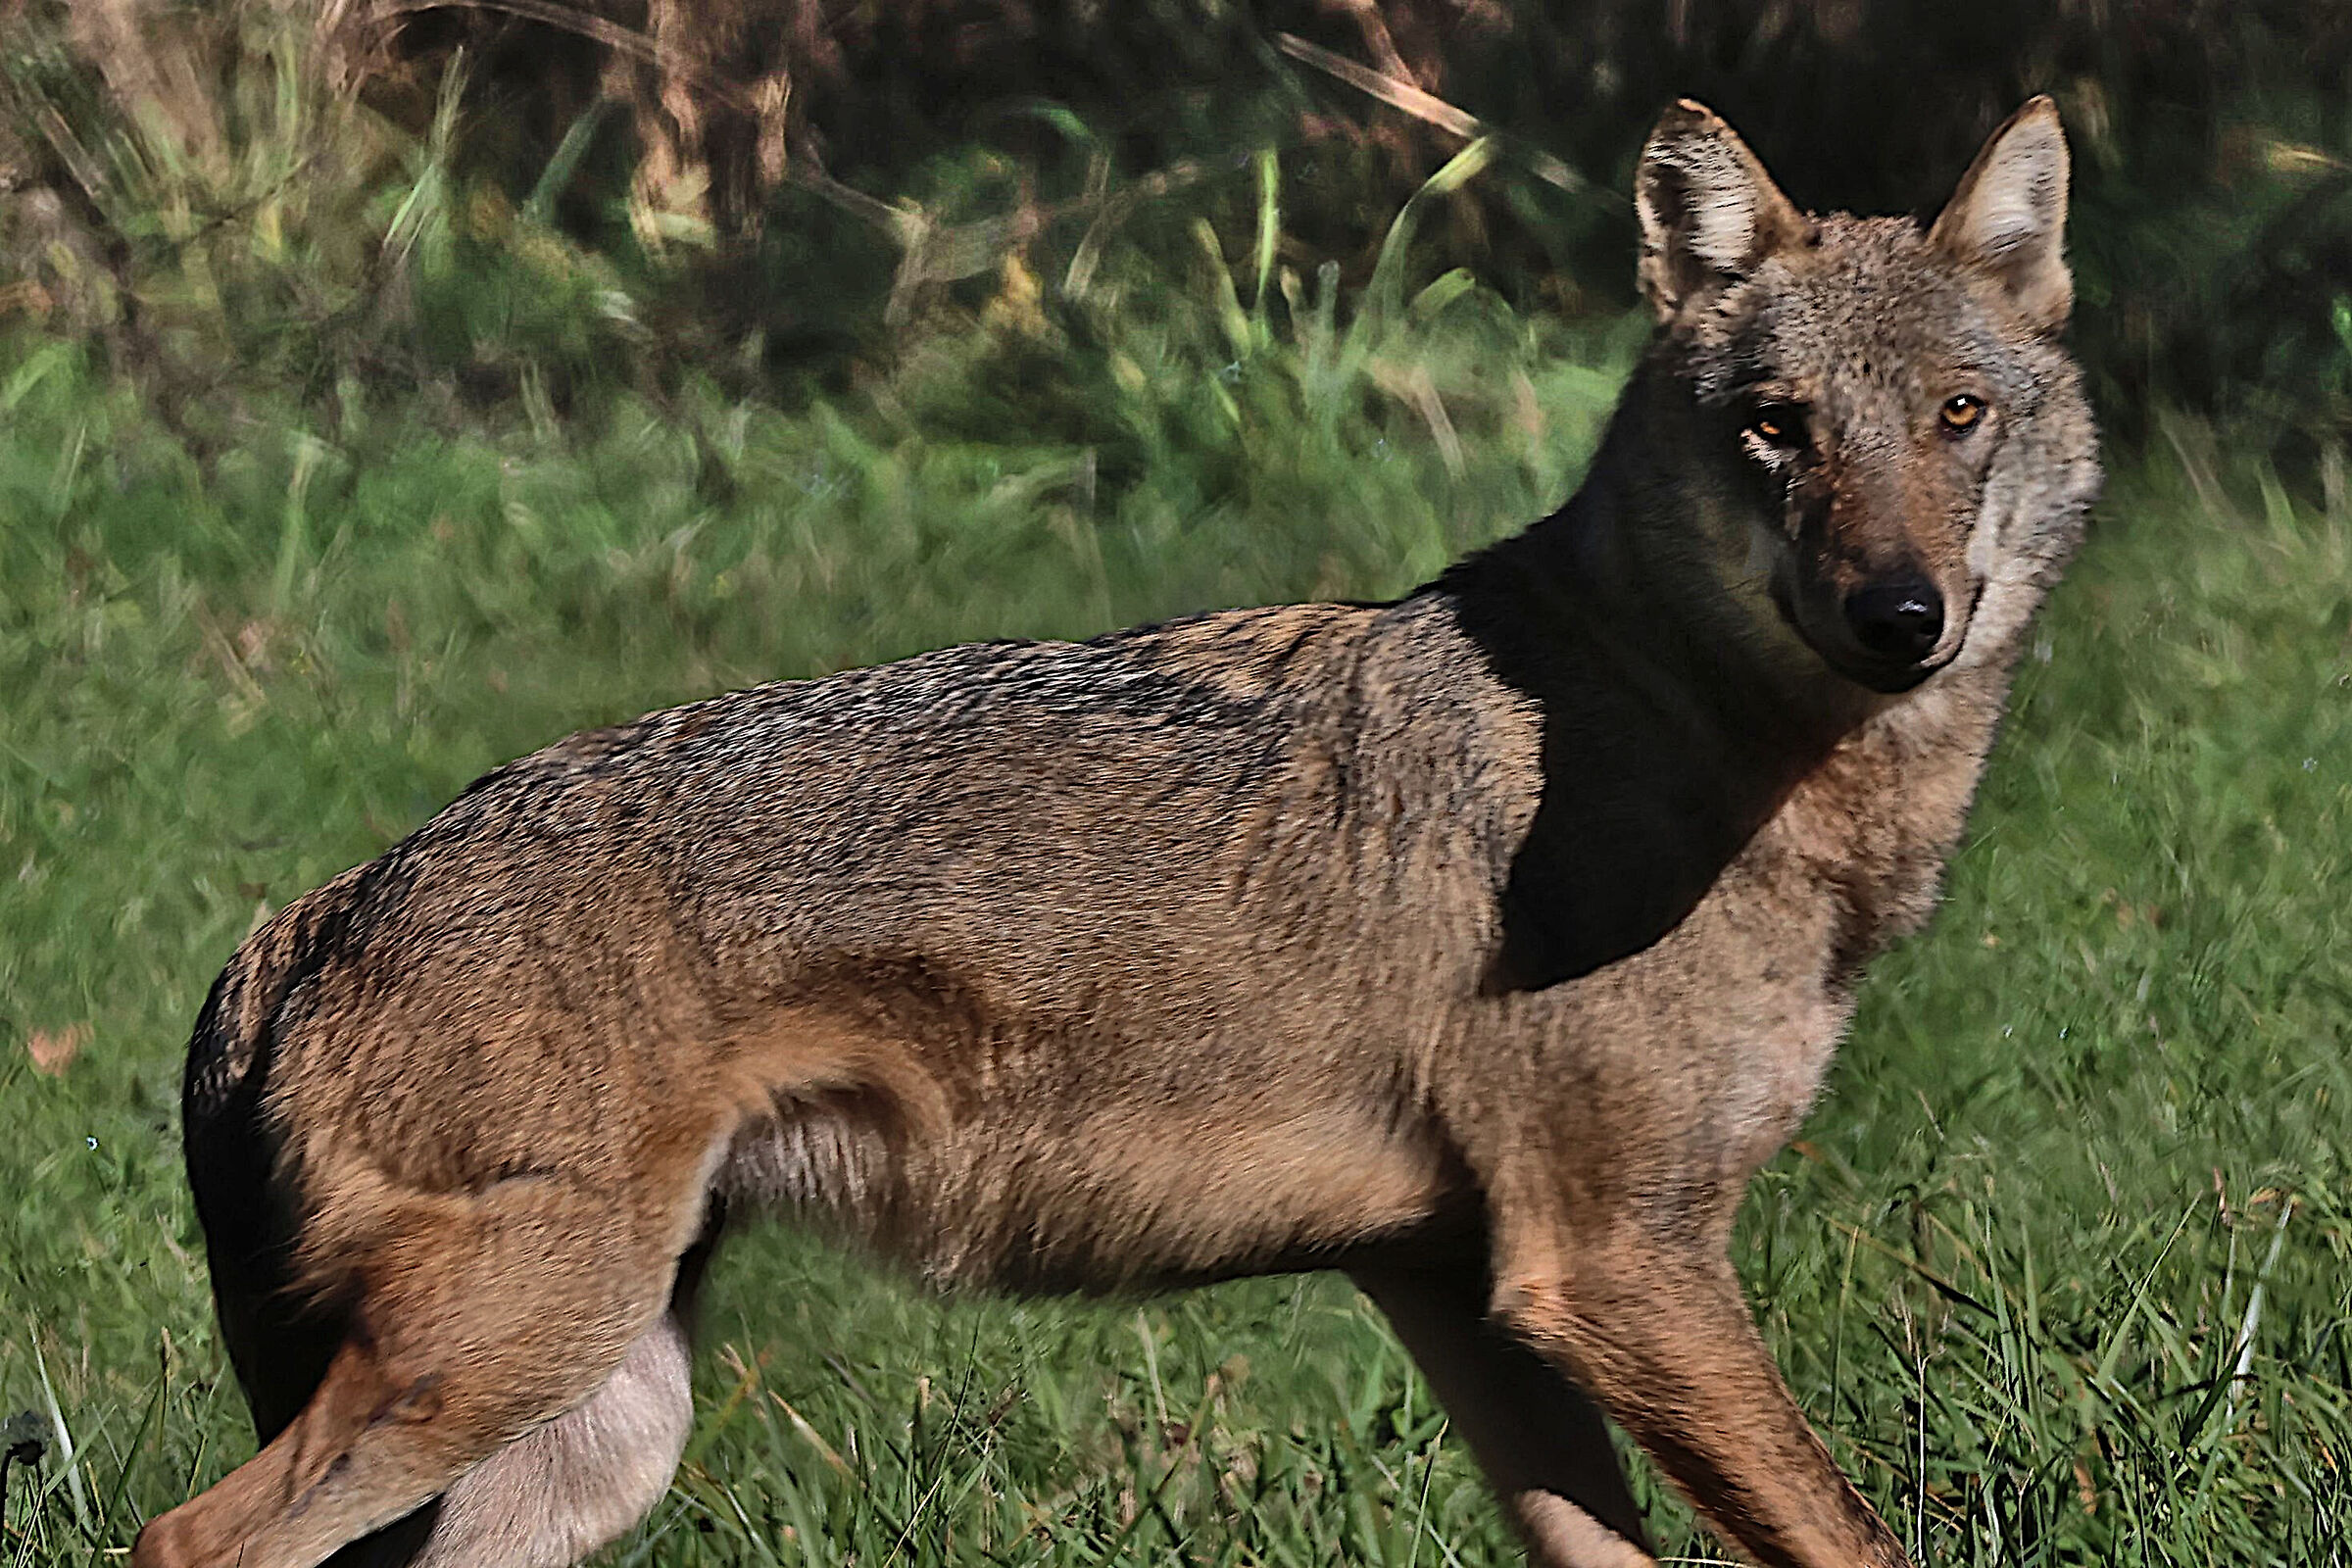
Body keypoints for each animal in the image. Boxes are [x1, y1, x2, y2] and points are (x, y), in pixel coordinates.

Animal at [135, 96, 2097, 1568]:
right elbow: (1855, 1540)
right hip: (513, 1361)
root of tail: (314, 908)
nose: (1901, 617)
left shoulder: (1466, 1290)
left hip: (592, 1437)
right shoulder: (1613, 1267)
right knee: (181, 1539)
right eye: (1777, 428)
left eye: (1958, 417)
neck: (1697, 745)